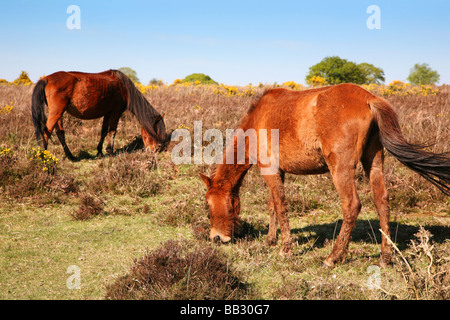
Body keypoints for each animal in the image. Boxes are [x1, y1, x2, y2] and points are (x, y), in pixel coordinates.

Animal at [31, 70, 167, 160]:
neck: (123, 88)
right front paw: (110, 152)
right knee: (46, 132)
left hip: (59, 113)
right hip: (56, 112)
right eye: (155, 132)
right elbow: (112, 131)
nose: (155, 149)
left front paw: (100, 152)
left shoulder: (107, 113)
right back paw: (43, 156)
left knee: (60, 132)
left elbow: (104, 131)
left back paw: (70, 156)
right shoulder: (116, 112)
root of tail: (46, 79)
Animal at [201, 83, 450, 268]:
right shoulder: (278, 172)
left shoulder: (270, 170)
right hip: (374, 162)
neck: (258, 120)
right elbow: (272, 206)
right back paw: (386, 257)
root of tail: (369, 99)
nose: (216, 238)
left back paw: (333, 257)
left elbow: (280, 206)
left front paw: (286, 248)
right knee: (382, 201)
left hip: (340, 168)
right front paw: (271, 239)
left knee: (351, 205)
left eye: (209, 206)